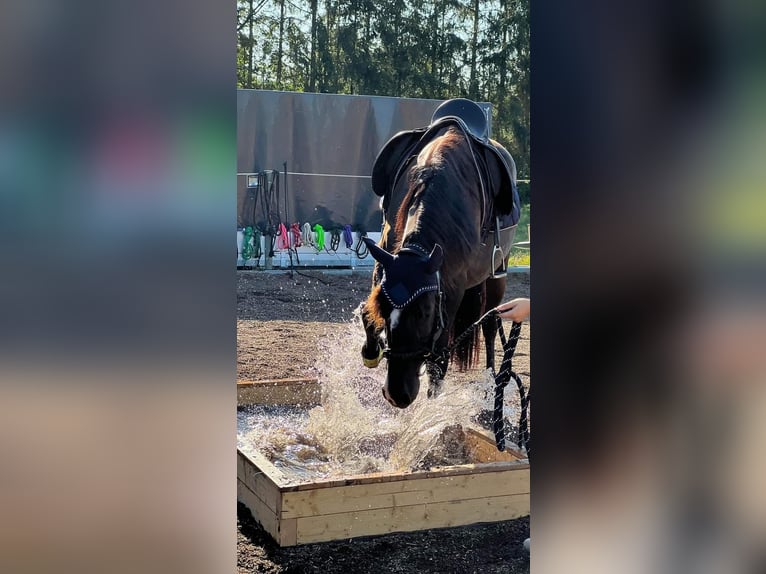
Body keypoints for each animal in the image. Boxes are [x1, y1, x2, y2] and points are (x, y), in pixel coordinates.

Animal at [360, 99, 520, 408]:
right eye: (385, 307)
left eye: (424, 313)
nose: (397, 394)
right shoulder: (383, 265)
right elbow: (367, 314)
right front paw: (370, 351)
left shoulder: (452, 289)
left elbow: (438, 360)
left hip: (497, 276)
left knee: (490, 324)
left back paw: (490, 385)